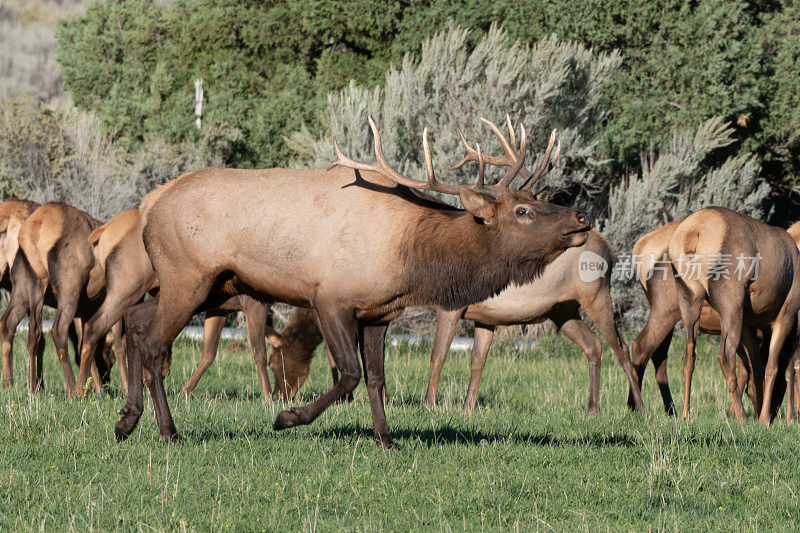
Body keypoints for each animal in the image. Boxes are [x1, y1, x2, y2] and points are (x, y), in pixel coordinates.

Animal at [115, 115, 592, 444]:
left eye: (535, 198)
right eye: (522, 211)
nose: (580, 218)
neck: (413, 259)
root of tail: (148, 204)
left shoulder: (379, 312)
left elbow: (377, 379)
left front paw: (387, 440)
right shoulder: (330, 298)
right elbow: (348, 374)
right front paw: (287, 417)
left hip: (209, 286)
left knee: (137, 323)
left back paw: (126, 419)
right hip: (189, 276)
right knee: (154, 342)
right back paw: (168, 431)